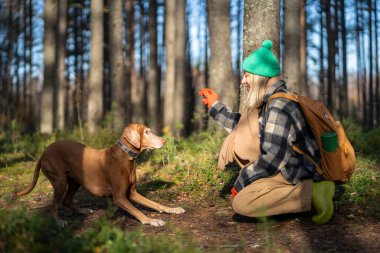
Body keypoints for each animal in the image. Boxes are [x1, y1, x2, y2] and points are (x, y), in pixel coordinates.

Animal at [17, 123, 185, 226]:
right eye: (147, 132)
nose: (164, 141)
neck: (126, 157)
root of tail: (44, 152)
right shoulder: (119, 197)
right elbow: (138, 211)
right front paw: (151, 220)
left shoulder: (133, 193)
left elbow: (156, 204)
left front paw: (173, 209)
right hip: (60, 182)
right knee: (54, 206)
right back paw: (59, 221)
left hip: (75, 181)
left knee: (66, 200)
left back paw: (83, 210)